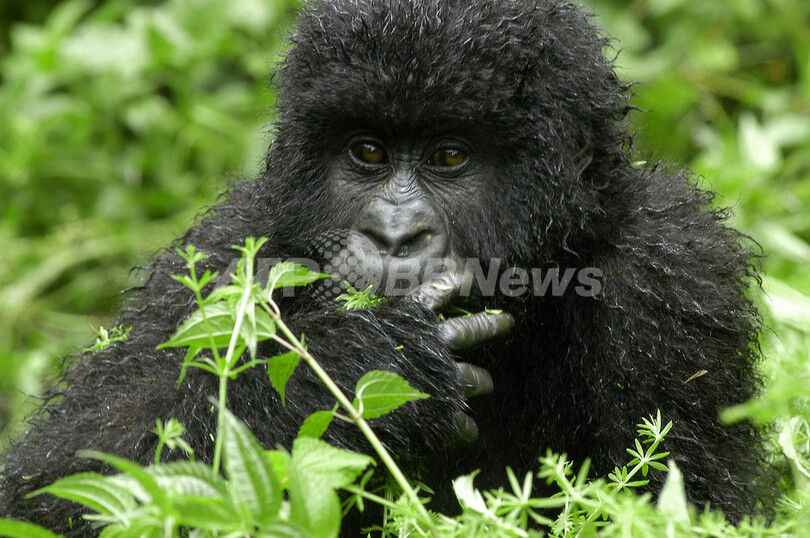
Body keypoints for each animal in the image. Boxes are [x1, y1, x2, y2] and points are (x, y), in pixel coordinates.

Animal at [0, 0, 772, 528]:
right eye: (367, 152)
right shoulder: (226, 253)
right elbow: (60, 481)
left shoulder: (673, 273)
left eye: (450, 155)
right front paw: (357, 365)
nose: (394, 233)